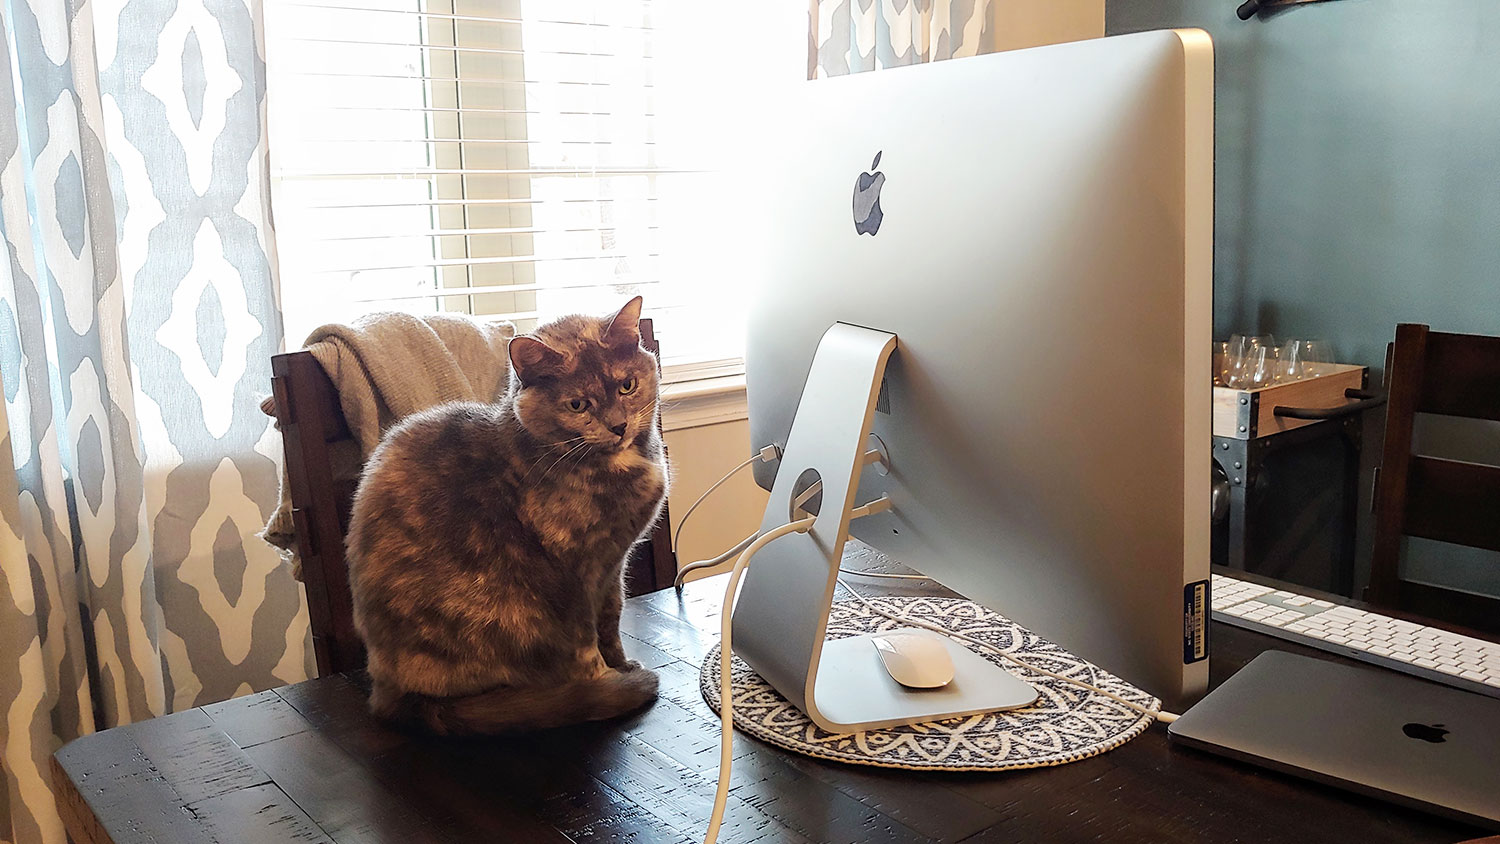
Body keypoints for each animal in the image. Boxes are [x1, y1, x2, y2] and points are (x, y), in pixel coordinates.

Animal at [345, 296, 669, 734]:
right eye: (578, 404)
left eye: (627, 385)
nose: (618, 426)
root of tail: (391, 697)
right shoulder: (573, 575)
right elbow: (585, 641)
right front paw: (606, 681)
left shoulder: (613, 564)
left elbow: (611, 618)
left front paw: (623, 664)